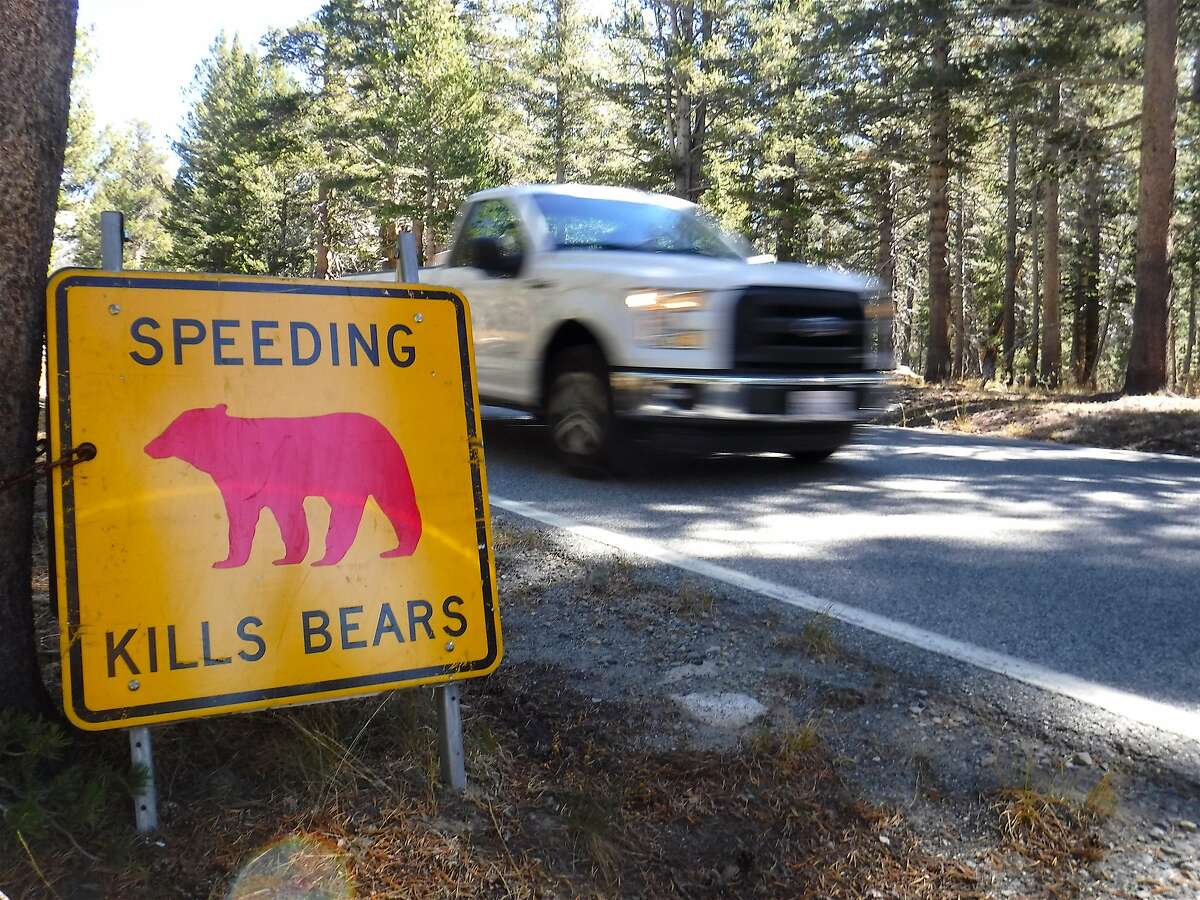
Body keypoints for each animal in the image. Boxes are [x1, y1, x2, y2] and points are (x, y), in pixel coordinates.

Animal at [144, 404, 422, 569]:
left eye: (171, 431)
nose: (148, 446)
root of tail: (386, 430)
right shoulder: (239, 480)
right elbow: (244, 516)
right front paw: (231, 560)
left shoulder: (269, 470)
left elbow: (279, 513)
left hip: (358, 465)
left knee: (365, 507)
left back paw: (329, 558)